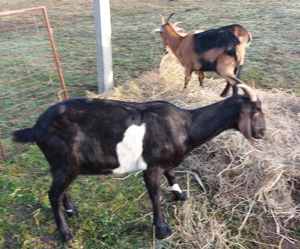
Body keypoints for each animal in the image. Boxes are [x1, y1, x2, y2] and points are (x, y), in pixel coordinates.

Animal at [12, 83, 264, 241]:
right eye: (256, 112)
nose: (262, 133)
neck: (186, 125)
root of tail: (36, 128)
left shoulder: (165, 162)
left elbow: (172, 173)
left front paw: (180, 195)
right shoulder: (150, 167)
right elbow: (155, 195)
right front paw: (162, 229)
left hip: (63, 166)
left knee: (60, 189)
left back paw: (71, 209)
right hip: (65, 162)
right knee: (52, 194)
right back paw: (65, 234)